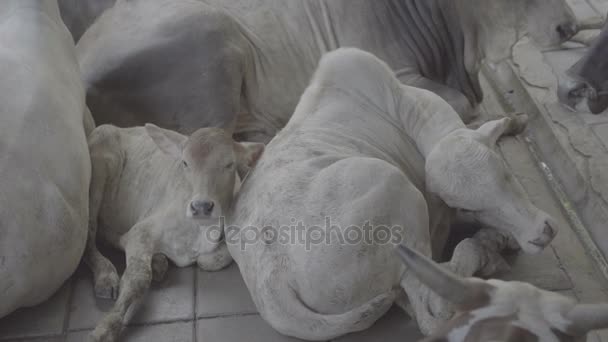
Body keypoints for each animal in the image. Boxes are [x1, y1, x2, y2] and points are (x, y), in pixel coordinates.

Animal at [86, 123, 264, 342]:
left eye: (229, 164)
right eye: (185, 163)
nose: (201, 206)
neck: (198, 231)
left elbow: (208, 260)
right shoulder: (142, 230)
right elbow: (138, 277)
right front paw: (106, 327)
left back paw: (158, 262)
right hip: (98, 170)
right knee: (90, 232)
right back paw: (106, 275)